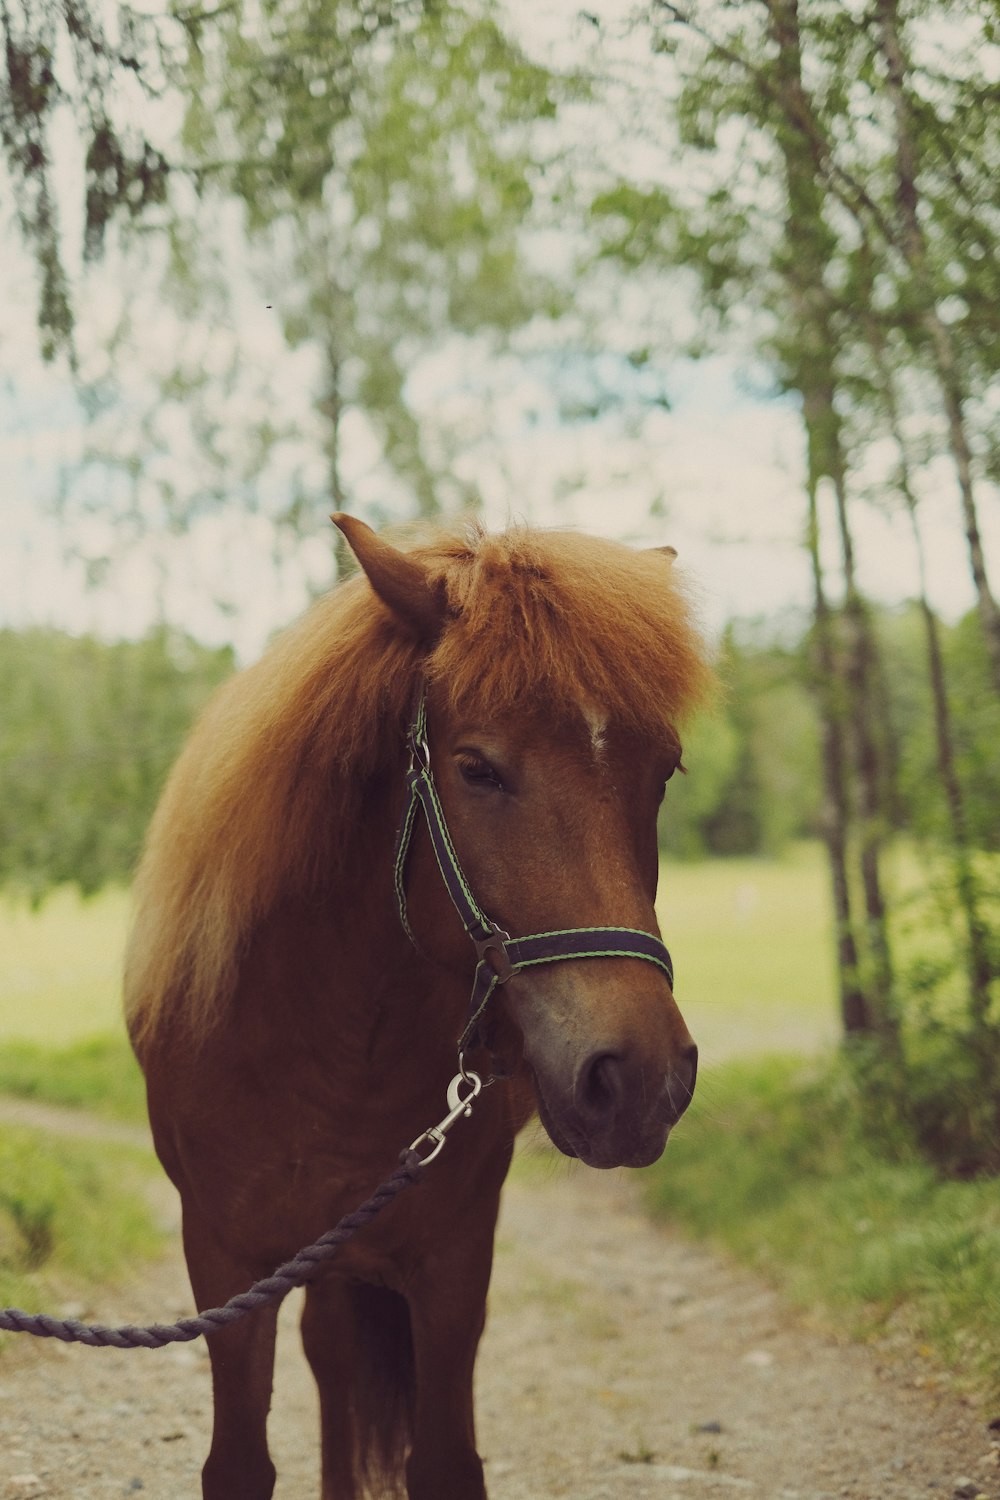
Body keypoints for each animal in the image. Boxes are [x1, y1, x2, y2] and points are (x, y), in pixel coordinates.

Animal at [125, 516, 716, 1500]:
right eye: (477, 769)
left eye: (662, 773)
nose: (638, 1080)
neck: (327, 1044)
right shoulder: (224, 1263)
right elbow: (240, 1462)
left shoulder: (452, 1260)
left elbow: (444, 1460)